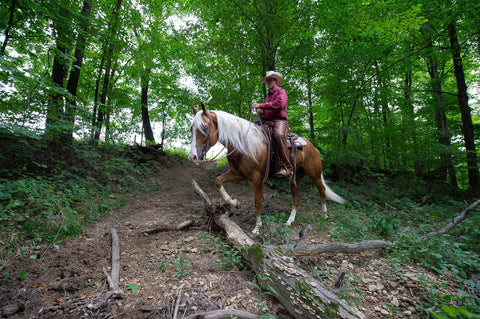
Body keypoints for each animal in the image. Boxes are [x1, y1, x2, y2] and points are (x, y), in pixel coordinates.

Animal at [187, 102, 344, 235]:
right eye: (191, 129)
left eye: (204, 127)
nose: (192, 157)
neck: (244, 143)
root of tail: (311, 146)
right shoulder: (237, 173)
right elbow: (218, 181)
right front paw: (235, 203)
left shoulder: (257, 178)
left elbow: (257, 201)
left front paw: (257, 227)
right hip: (294, 177)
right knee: (297, 197)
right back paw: (289, 221)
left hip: (315, 173)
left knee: (322, 190)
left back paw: (325, 215)